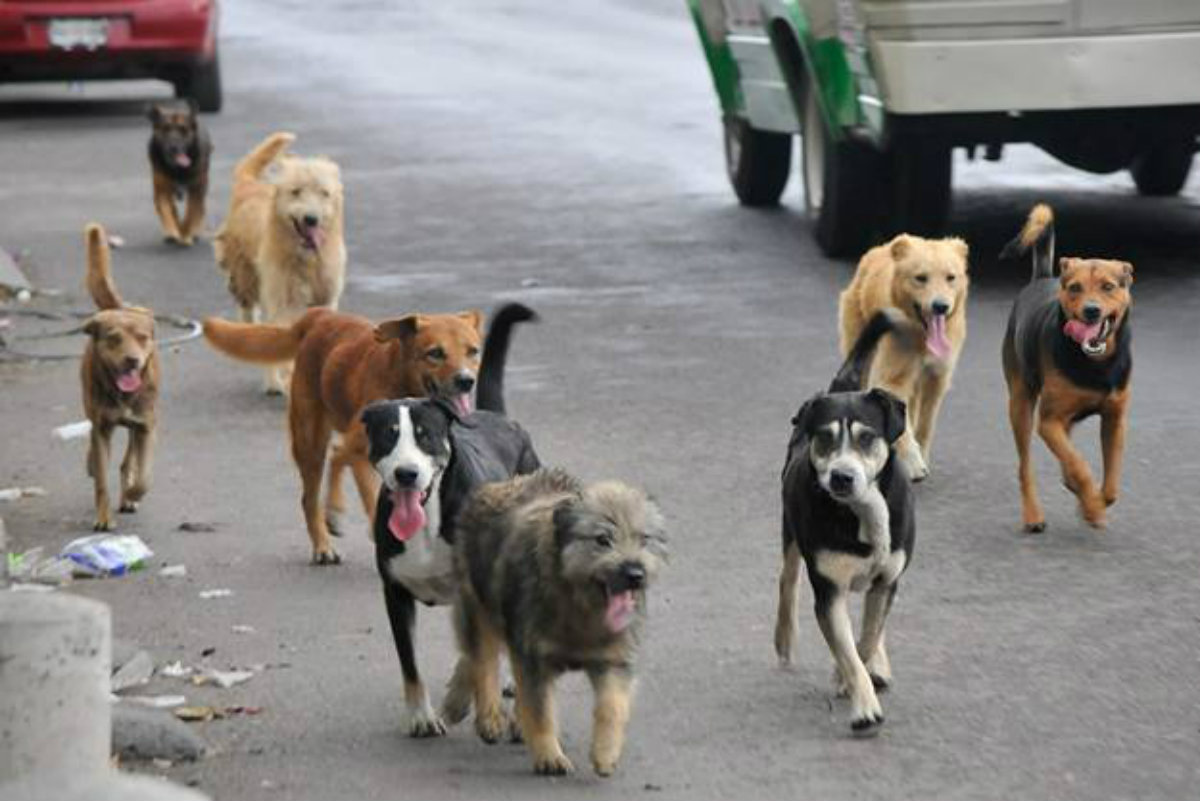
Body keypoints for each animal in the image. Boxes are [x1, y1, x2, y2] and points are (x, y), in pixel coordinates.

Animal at [212, 131, 348, 393]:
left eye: (323, 193)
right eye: (296, 191)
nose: (311, 219)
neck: (306, 259)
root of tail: (248, 185)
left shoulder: (325, 299)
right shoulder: (285, 303)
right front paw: (287, 378)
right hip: (247, 282)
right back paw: (273, 382)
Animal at [448, 470, 672, 777]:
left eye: (644, 539)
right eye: (603, 539)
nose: (635, 574)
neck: (579, 612)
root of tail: (505, 483)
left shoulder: (614, 660)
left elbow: (613, 707)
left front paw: (606, 753)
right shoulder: (531, 656)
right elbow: (540, 710)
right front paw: (549, 756)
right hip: (479, 605)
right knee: (482, 658)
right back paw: (488, 715)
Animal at [772, 309, 912, 733]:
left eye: (866, 438)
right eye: (824, 438)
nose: (841, 477)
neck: (863, 512)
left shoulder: (887, 578)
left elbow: (864, 639)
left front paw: (852, 675)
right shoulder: (829, 587)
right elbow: (848, 648)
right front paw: (862, 704)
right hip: (789, 531)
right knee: (787, 580)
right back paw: (784, 638)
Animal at [840, 235, 969, 479]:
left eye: (951, 277)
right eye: (921, 278)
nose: (940, 306)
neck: (922, 338)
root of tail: (879, 248)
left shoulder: (937, 378)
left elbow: (926, 424)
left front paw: (922, 453)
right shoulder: (894, 377)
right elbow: (903, 426)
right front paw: (913, 461)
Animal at [1003, 205, 1132, 532]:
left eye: (1108, 287)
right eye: (1075, 288)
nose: (1091, 311)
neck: (1095, 362)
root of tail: (1041, 278)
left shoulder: (1114, 419)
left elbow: (1111, 483)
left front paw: (1094, 504)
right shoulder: (1048, 422)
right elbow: (1080, 466)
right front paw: (1093, 507)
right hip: (1021, 406)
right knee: (1025, 467)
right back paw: (1033, 515)